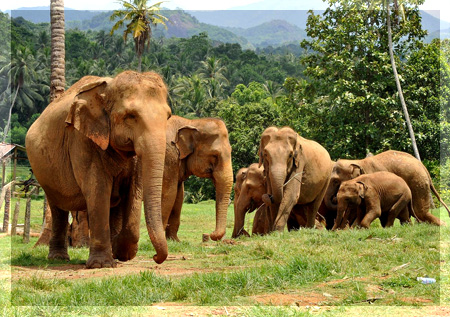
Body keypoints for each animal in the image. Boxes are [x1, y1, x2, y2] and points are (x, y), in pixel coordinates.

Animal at [25, 71, 172, 266]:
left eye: (168, 117)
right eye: (130, 116)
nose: (155, 257)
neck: (106, 89)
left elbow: (135, 190)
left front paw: (120, 252)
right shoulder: (82, 139)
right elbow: (98, 189)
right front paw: (101, 264)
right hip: (46, 174)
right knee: (57, 207)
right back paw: (59, 258)